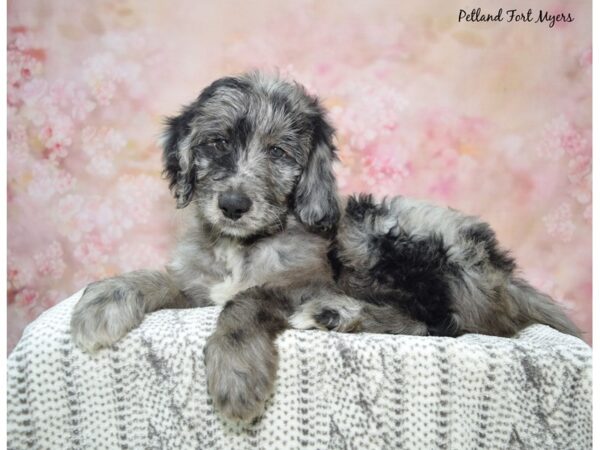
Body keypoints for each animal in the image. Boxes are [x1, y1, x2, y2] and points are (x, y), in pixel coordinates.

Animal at [70, 72, 580, 424]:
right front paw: (102, 302)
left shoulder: (304, 279)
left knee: (435, 321)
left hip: (378, 235)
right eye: (215, 143)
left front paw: (236, 371)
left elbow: (246, 299)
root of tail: (505, 279)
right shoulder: (199, 284)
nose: (232, 205)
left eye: (278, 153)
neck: (244, 245)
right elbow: (158, 277)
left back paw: (333, 313)